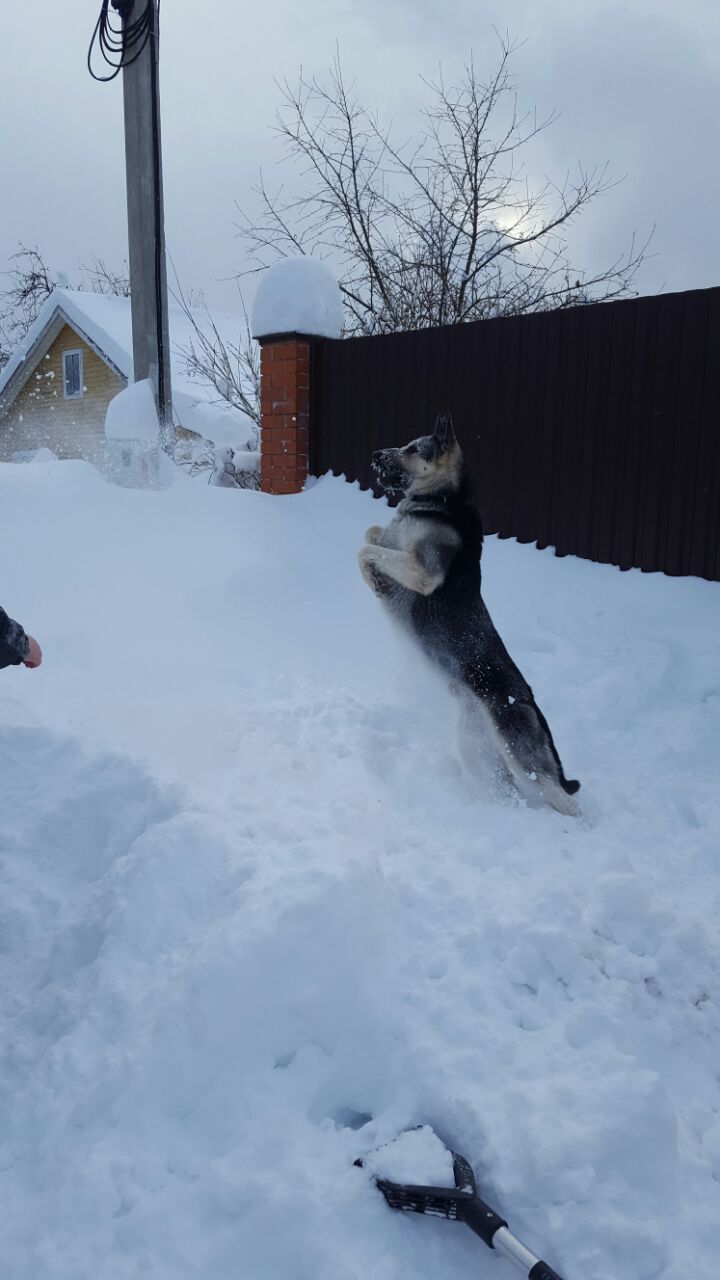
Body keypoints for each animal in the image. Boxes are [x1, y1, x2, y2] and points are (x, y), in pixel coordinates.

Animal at [356, 414, 579, 814]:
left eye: (413, 449)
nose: (374, 455)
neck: (441, 498)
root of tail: (530, 702)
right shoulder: (397, 548)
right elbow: (371, 533)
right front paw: (373, 579)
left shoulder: (422, 572)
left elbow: (365, 548)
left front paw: (374, 579)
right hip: (479, 750)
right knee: (505, 789)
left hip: (520, 757)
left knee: (565, 801)